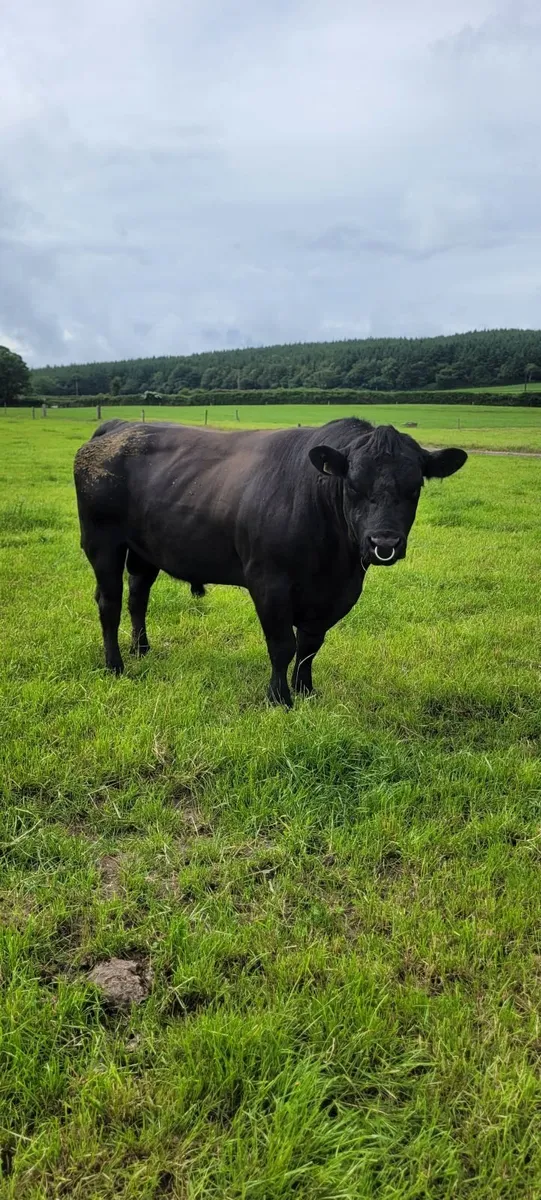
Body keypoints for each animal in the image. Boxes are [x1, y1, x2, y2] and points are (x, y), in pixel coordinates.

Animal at [74, 417, 467, 706]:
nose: (384, 543)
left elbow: (309, 646)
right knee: (109, 601)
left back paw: (141, 650)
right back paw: (115, 665)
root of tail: (119, 425)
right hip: (102, 542)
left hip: (144, 550)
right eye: (353, 485)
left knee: (138, 596)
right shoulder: (269, 583)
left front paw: (306, 691)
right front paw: (279, 698)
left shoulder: (335, 594)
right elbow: (283, 646)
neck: (334, 563)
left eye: (415, 487)